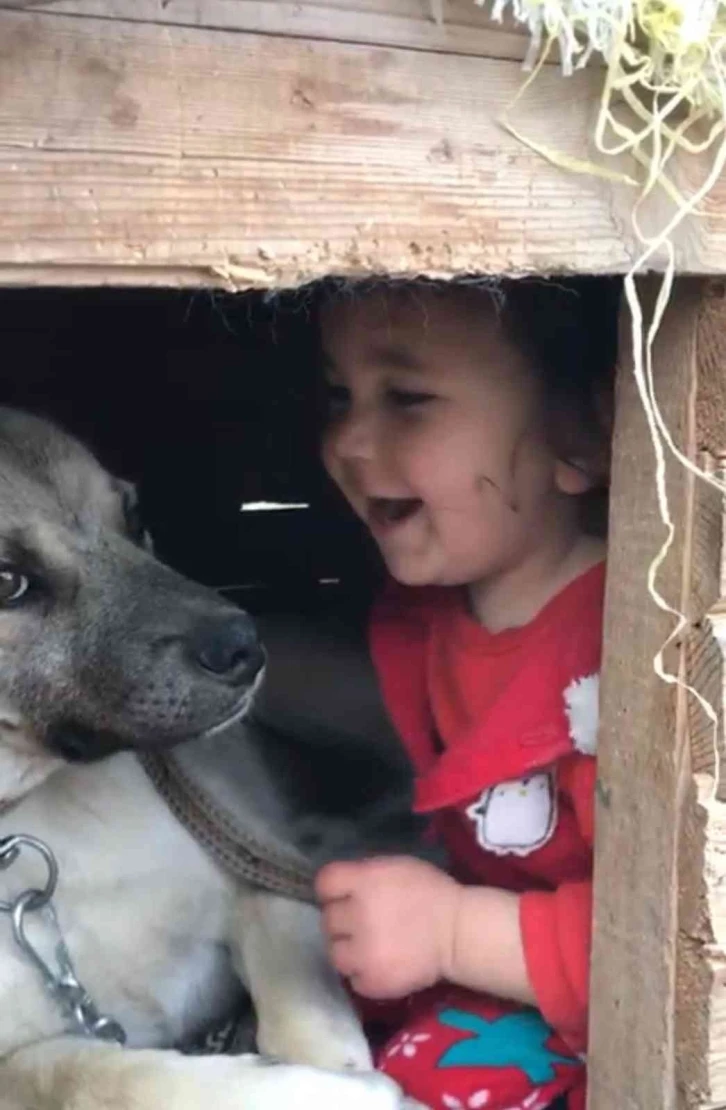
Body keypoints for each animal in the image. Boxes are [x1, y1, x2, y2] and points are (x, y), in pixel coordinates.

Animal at [0, 412, 426, 1110]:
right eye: (7, 581)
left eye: (135, 516)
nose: (242, 647)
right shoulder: (25, 1061)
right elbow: (114, 1078)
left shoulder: (264, 885)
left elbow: (303, 1018)